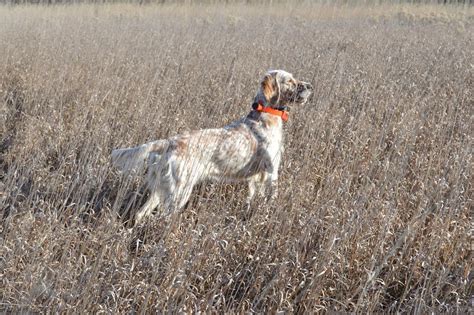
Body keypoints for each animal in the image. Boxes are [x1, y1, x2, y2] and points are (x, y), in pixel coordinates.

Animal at [110, 70, 312, 226]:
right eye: (290, 81)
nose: (310, 86)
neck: (264, 115)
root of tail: (168, 142)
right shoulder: (271, 172)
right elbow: (271, 197)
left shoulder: (257, 178)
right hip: (179, 192)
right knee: (161, 217)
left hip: (161, 189)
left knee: (140, 214)